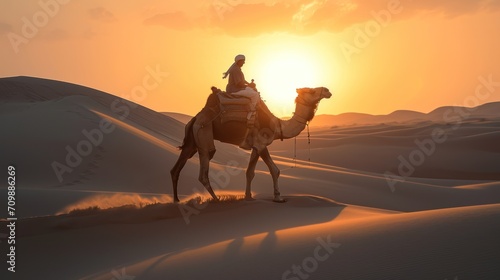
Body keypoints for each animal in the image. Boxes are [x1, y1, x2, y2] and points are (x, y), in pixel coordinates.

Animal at [171, 86, 332, 202]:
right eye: (312, 90)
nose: (327, 90)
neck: (278, 125)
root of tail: (195, 119)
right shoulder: (261, 144)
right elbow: (275, 170)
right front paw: (278, 197)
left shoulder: (256, 146)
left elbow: (250, 172)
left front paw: (248, 196)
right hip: (204, 136)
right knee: (203, 172)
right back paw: (216, 199)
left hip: (191, 141)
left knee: (176, 169)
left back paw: (176, 200)